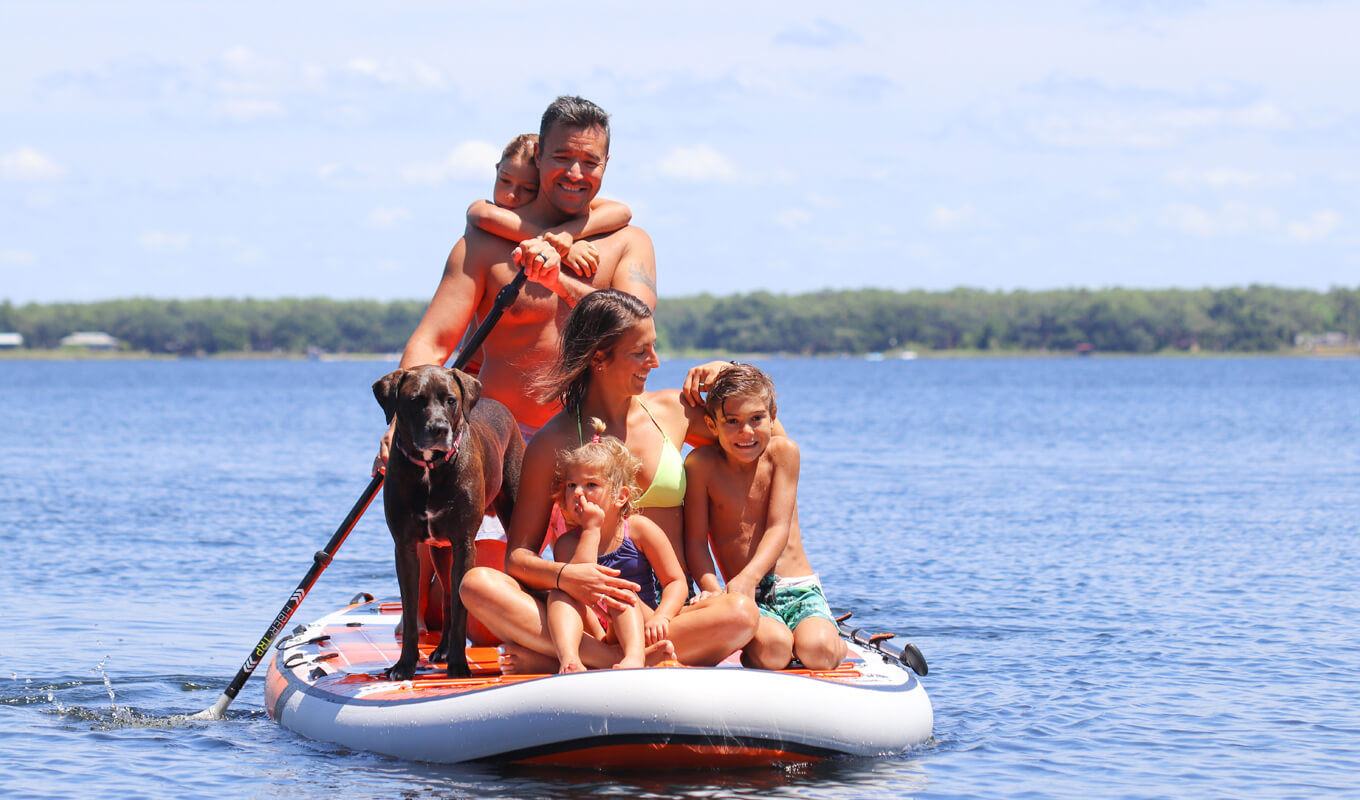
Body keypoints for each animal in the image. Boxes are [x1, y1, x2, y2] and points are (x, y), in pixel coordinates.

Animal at [372, 364, 519, 677]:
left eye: (451, 400)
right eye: (415, 400)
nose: (439, 429)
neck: (430, 466)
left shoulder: (464, 544)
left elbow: (463, 608)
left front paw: (459, 666)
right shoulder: (405, 547)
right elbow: (410, 608)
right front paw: (405, 665)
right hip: (440, 552)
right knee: (448, 599)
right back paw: (441, 649)